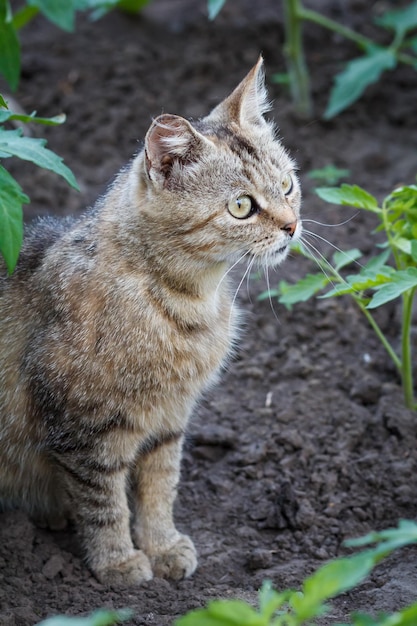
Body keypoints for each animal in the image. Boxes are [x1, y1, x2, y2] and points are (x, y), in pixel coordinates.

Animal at [0, 56, 300, 584]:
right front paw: (118, 561)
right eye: (241, 206)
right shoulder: (85, 430)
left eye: (286, 184)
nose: (292, 225)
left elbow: (160, 489)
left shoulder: (169, 420)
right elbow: (105, 502)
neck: (188, 303)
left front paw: (162, 546)